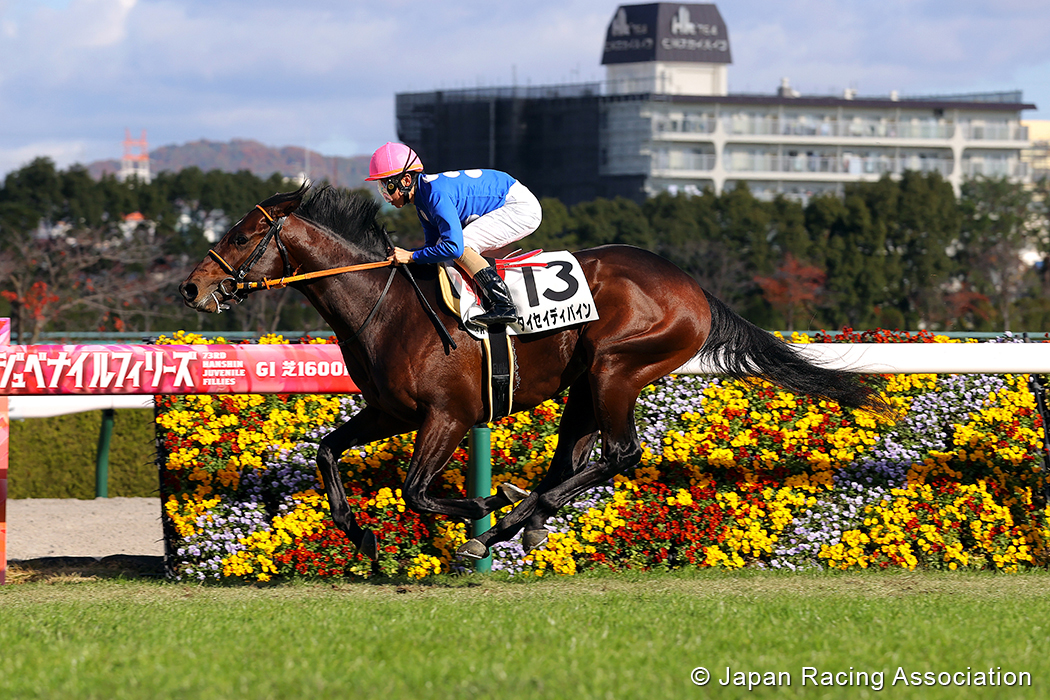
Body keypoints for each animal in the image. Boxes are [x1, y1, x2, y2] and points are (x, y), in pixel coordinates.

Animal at [179, 183, 890, 561]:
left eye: (243, 236)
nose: (192, 288)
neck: (383, 303)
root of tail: (694, 288)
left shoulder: (448, 416)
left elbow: (415, 490)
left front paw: (482, 507)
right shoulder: (391, 411)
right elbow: (328, 452)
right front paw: (363, 539)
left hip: (617, 367)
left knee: (619, 455)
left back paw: (510, 520)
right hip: (587, 380)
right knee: (575, 457)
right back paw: (526, 519)